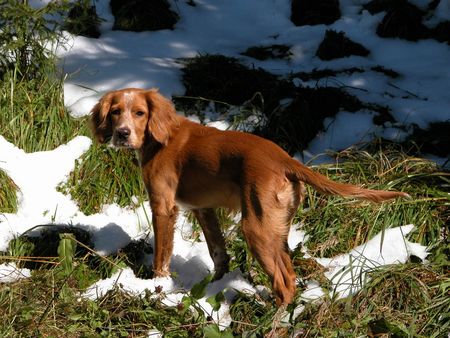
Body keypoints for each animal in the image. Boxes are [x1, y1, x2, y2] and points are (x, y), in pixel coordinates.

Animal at [90, 88, 408, 306]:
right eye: (115, 111)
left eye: (140, 113)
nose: (122, 133)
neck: (160, 137)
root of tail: (284, 159)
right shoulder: (203, 209)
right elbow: (218, 253)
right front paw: (214, 288)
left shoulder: (163, 206)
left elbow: (161, 257)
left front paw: (156, 288)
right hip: (274, 228)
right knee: (290, 274)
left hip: (254, 228)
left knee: (284, 283)